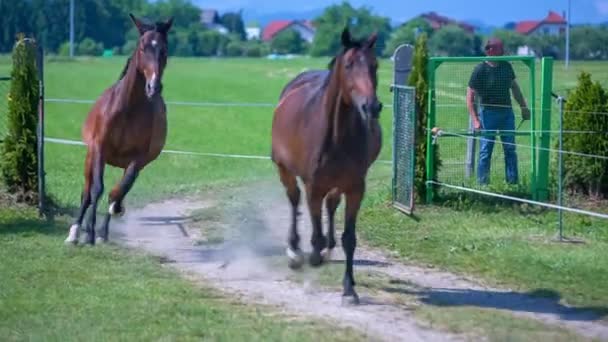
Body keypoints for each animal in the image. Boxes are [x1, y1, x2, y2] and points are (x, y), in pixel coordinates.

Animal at [64, 12, 173, 243]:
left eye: (164, 50)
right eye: (142, 48)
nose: (153, 87)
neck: (127, 109)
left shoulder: (138, 159)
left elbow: (118, 191)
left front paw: (102, 227)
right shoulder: (99, 148)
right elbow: (96, 190)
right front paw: (87, 233)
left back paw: (103, 232)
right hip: (90, 156)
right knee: (86, 193)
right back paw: (75, 232)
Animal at [272, 27, 382, 304]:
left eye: (375, 65)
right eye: (349, 64)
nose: (372, 106)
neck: (336, 135)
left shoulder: (355, 189)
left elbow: (349, 238)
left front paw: (349, 289)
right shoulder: (314, 187)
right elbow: (316, 236)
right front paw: (312, 257)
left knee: (330, 207)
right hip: (284, 169)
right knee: (294, 200)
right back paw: (295, 252)